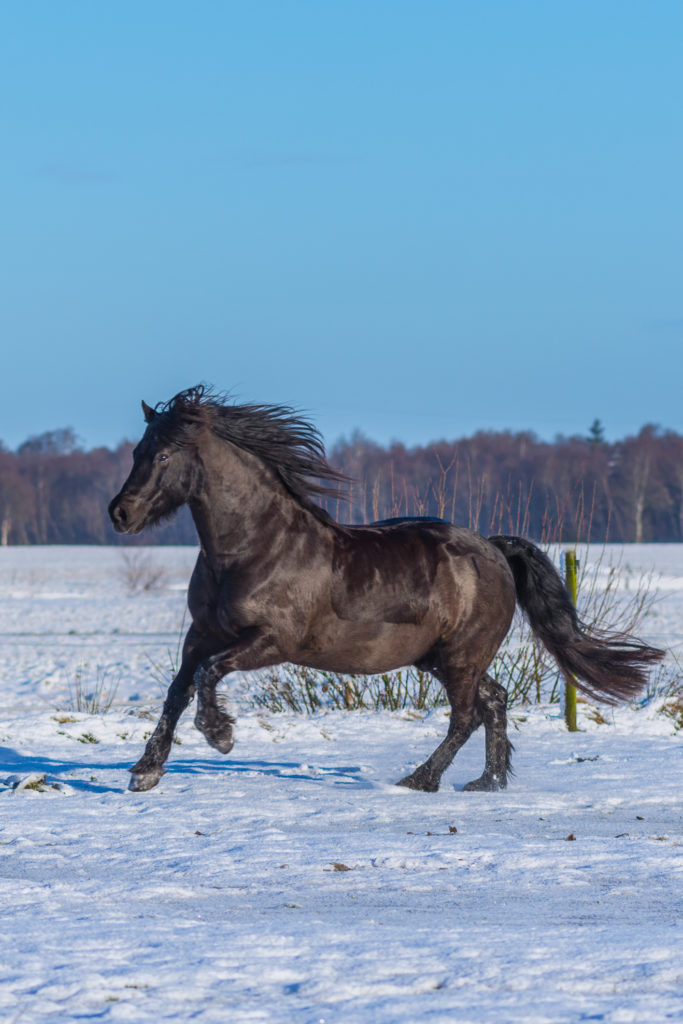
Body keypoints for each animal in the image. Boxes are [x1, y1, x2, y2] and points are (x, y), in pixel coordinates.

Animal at [109, 385, 663, 790]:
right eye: (137, 451)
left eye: (164, 456)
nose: (120, 513)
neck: (255, 547)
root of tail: (490, 548)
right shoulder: (201, 633)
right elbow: (178, 690)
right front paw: (146, 771)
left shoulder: (273, 641)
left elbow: (208, 675)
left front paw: (219, 735)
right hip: (439, 657)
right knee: (494, 701)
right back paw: (486, 782)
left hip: (460, 656)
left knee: (466, 715)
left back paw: (421, 780)